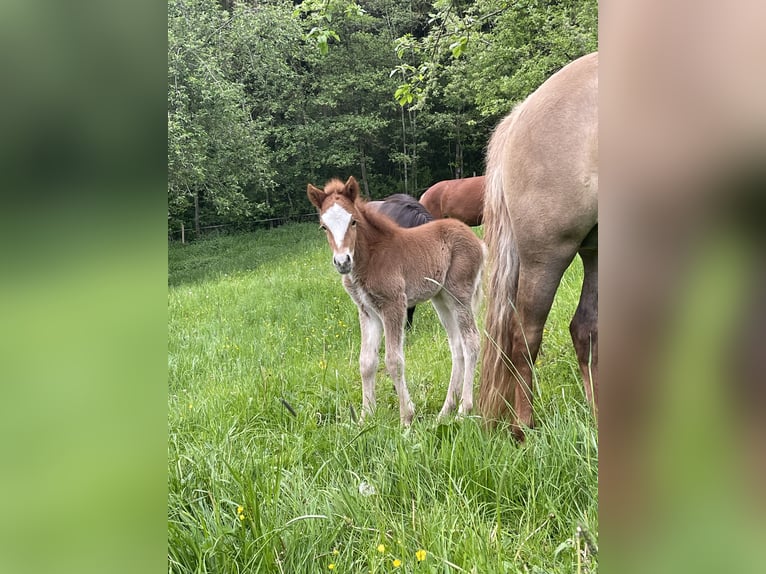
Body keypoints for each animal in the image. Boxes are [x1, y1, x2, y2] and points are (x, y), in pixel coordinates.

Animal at [480, 54, 600, 440]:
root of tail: (519, 116)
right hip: (546, 256)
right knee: (524, 337)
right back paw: (523, 428)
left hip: (597, 250)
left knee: (586, 328)